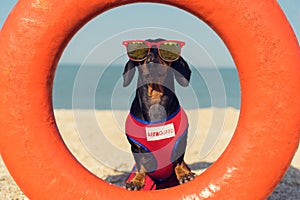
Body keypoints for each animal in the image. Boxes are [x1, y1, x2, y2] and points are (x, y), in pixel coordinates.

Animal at [122, 38, 195, 190]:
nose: (151, 57)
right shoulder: (136, 147)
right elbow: (141, 164)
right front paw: (136, 180)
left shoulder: (180, 142)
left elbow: (179, 160)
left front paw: (184, 174)